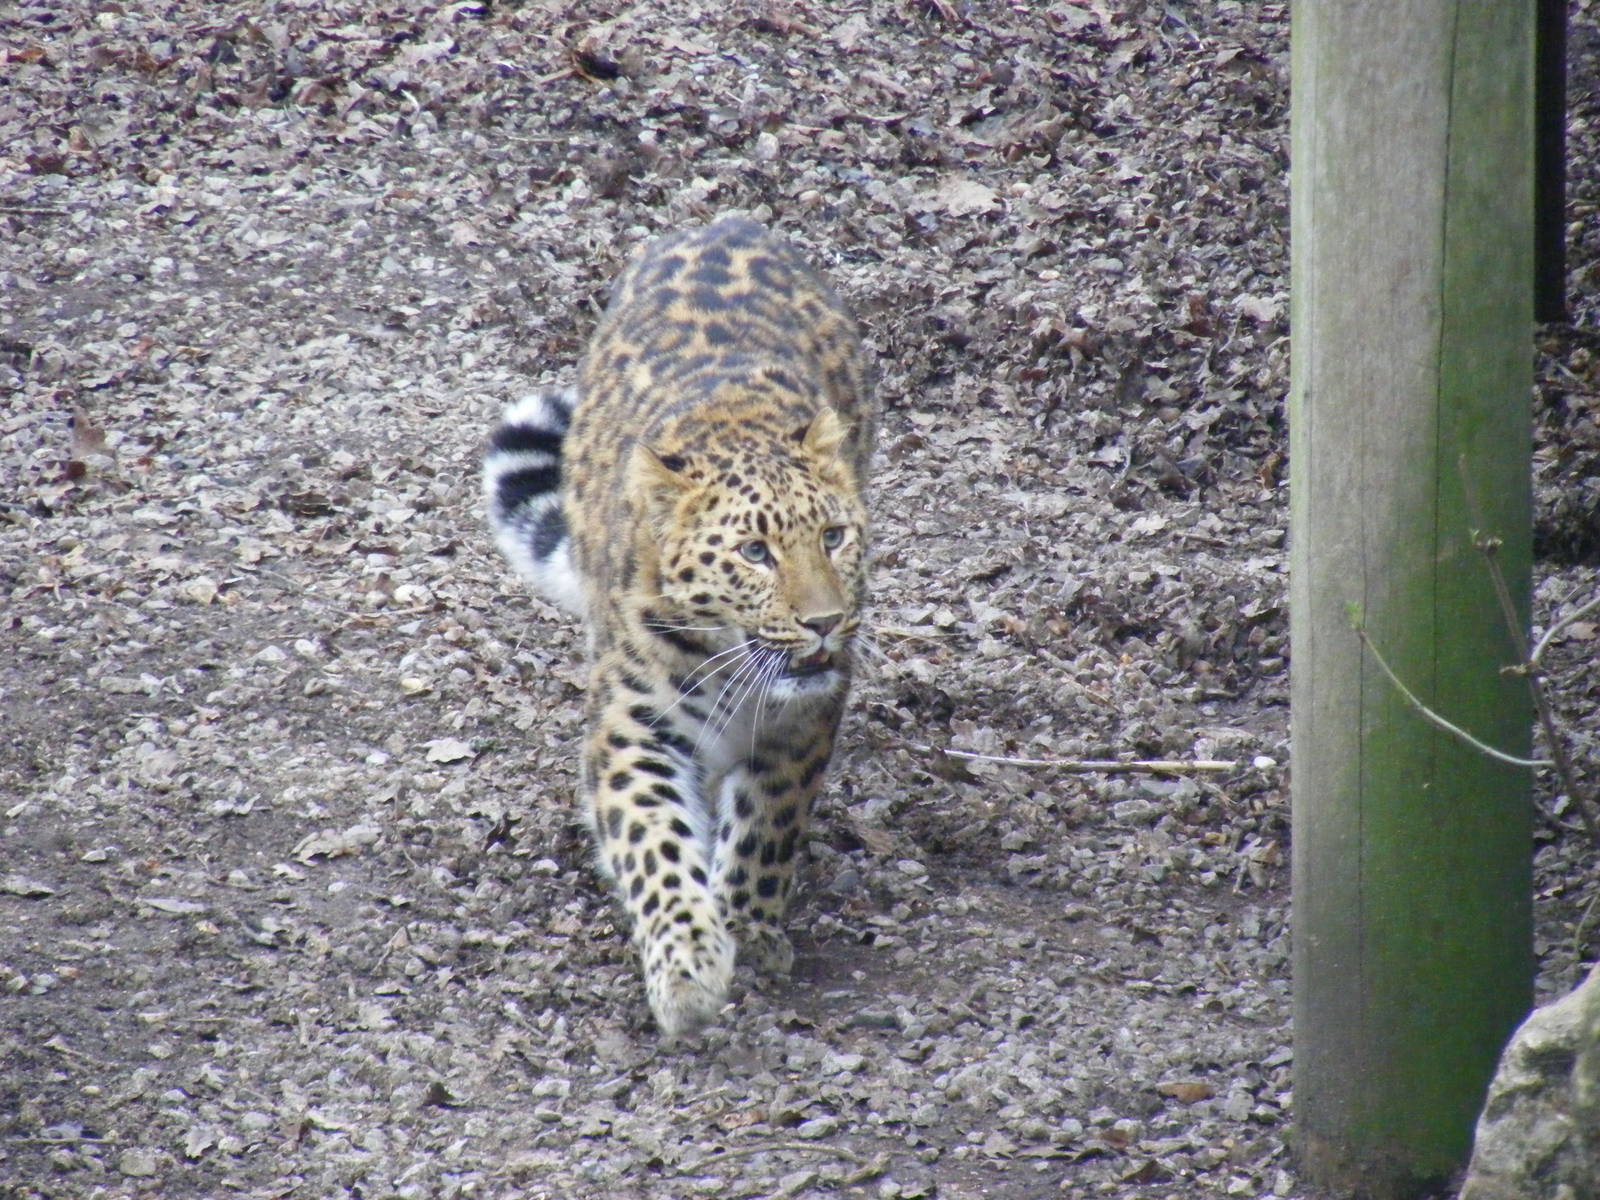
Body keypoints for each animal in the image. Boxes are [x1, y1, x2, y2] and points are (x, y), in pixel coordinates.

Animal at [483, 216, 874, 1036]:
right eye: (755, 553)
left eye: (833, 537)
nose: (826, 622)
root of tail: (727, 221)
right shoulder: (636, 728)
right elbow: (655, 843)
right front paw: (690, 965)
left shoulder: (804, 721)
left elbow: (768, 822)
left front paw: (747, 927)